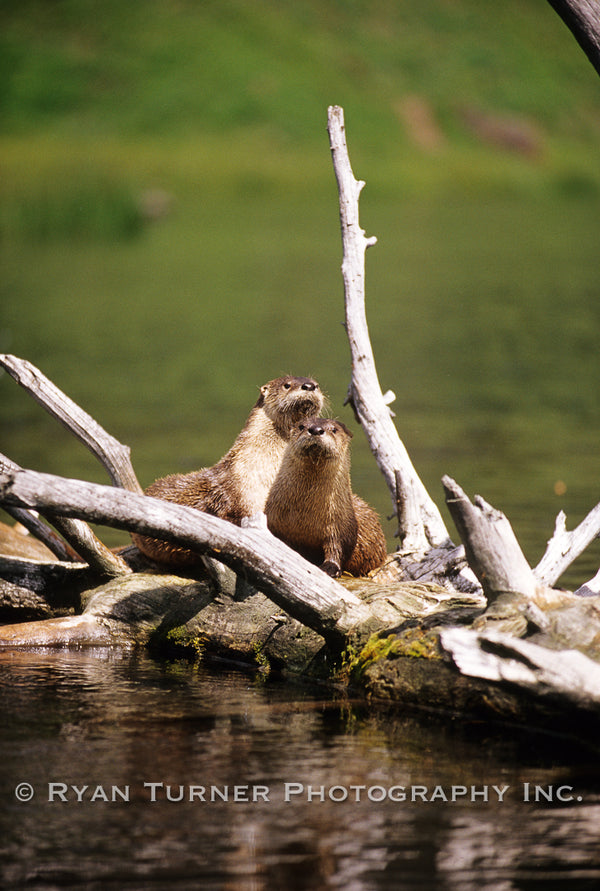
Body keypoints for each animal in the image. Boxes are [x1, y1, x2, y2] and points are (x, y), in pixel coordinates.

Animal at [268, 418, 390, 580]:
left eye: (334, 429)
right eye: (301, 426)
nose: (316, 430)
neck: (305, 515)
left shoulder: (341, 523)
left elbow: (338, 548)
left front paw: (330, 568)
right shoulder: (274, 518)